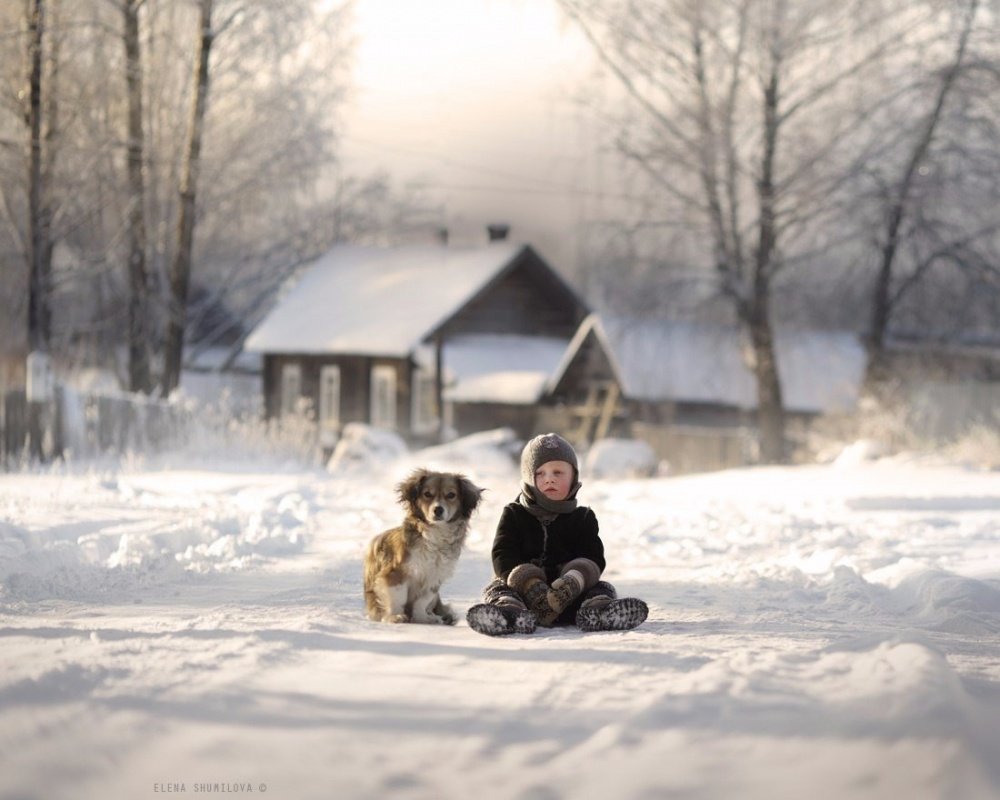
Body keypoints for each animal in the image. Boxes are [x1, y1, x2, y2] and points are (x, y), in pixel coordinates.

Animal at [364, 468, 484, 624]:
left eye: (451, 495)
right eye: (427, 494)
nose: (438, 509)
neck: (436, 534)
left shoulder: (434, 577)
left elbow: (422, 601)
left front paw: (422, 617)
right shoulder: (395, 573)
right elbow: (398, 597)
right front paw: (395, 616)